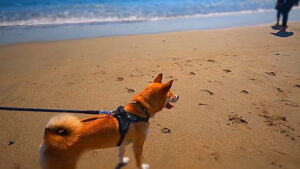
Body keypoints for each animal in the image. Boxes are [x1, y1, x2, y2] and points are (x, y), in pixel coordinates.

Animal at [40, 73, 179, 169]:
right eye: (170, 94)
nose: (178, 96)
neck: (139, 110)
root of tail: (50, 139)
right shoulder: (138, 146)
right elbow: (139, 161)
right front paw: (142, 166)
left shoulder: (123, 143)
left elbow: (121, 153)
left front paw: (122, 161)